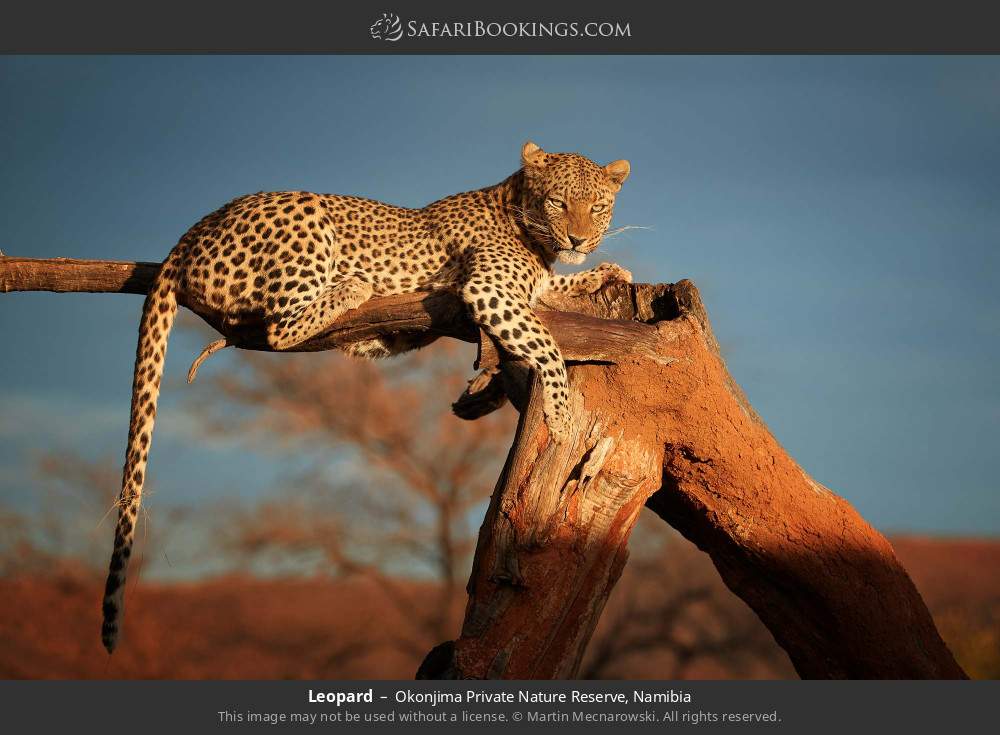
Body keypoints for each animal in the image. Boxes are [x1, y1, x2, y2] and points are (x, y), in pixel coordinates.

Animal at [103, 141, 632, 652]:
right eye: (559, 202)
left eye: (598, 207)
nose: (579, 240)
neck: (526, 222)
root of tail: (193, 231)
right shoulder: (489, 289)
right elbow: (546, 343)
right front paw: (561, 416)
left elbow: (552, 293)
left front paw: (604, 274)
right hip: (307, 220)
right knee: (278, 328)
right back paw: (353, 285)